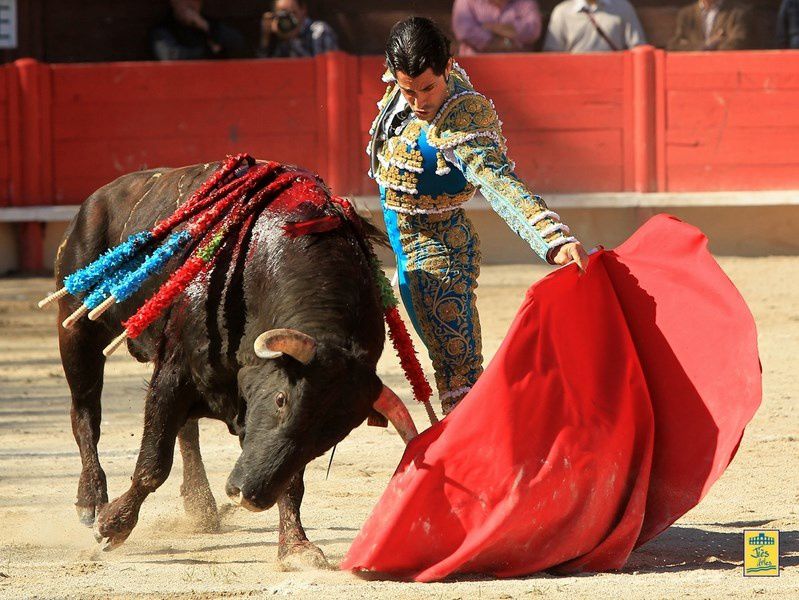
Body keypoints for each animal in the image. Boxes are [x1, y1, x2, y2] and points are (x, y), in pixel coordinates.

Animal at [51, 161, 418, 568]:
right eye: (281, 400)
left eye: (330, 436)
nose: (248, 496)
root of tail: (99, 197)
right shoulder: (174, 371)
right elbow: (153, 463)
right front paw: (113, 526)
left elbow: (292, 480)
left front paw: (296, 546)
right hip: (76, 328)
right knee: (85, 413)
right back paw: (91, 500)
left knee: (187, 430)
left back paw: (201, 505)